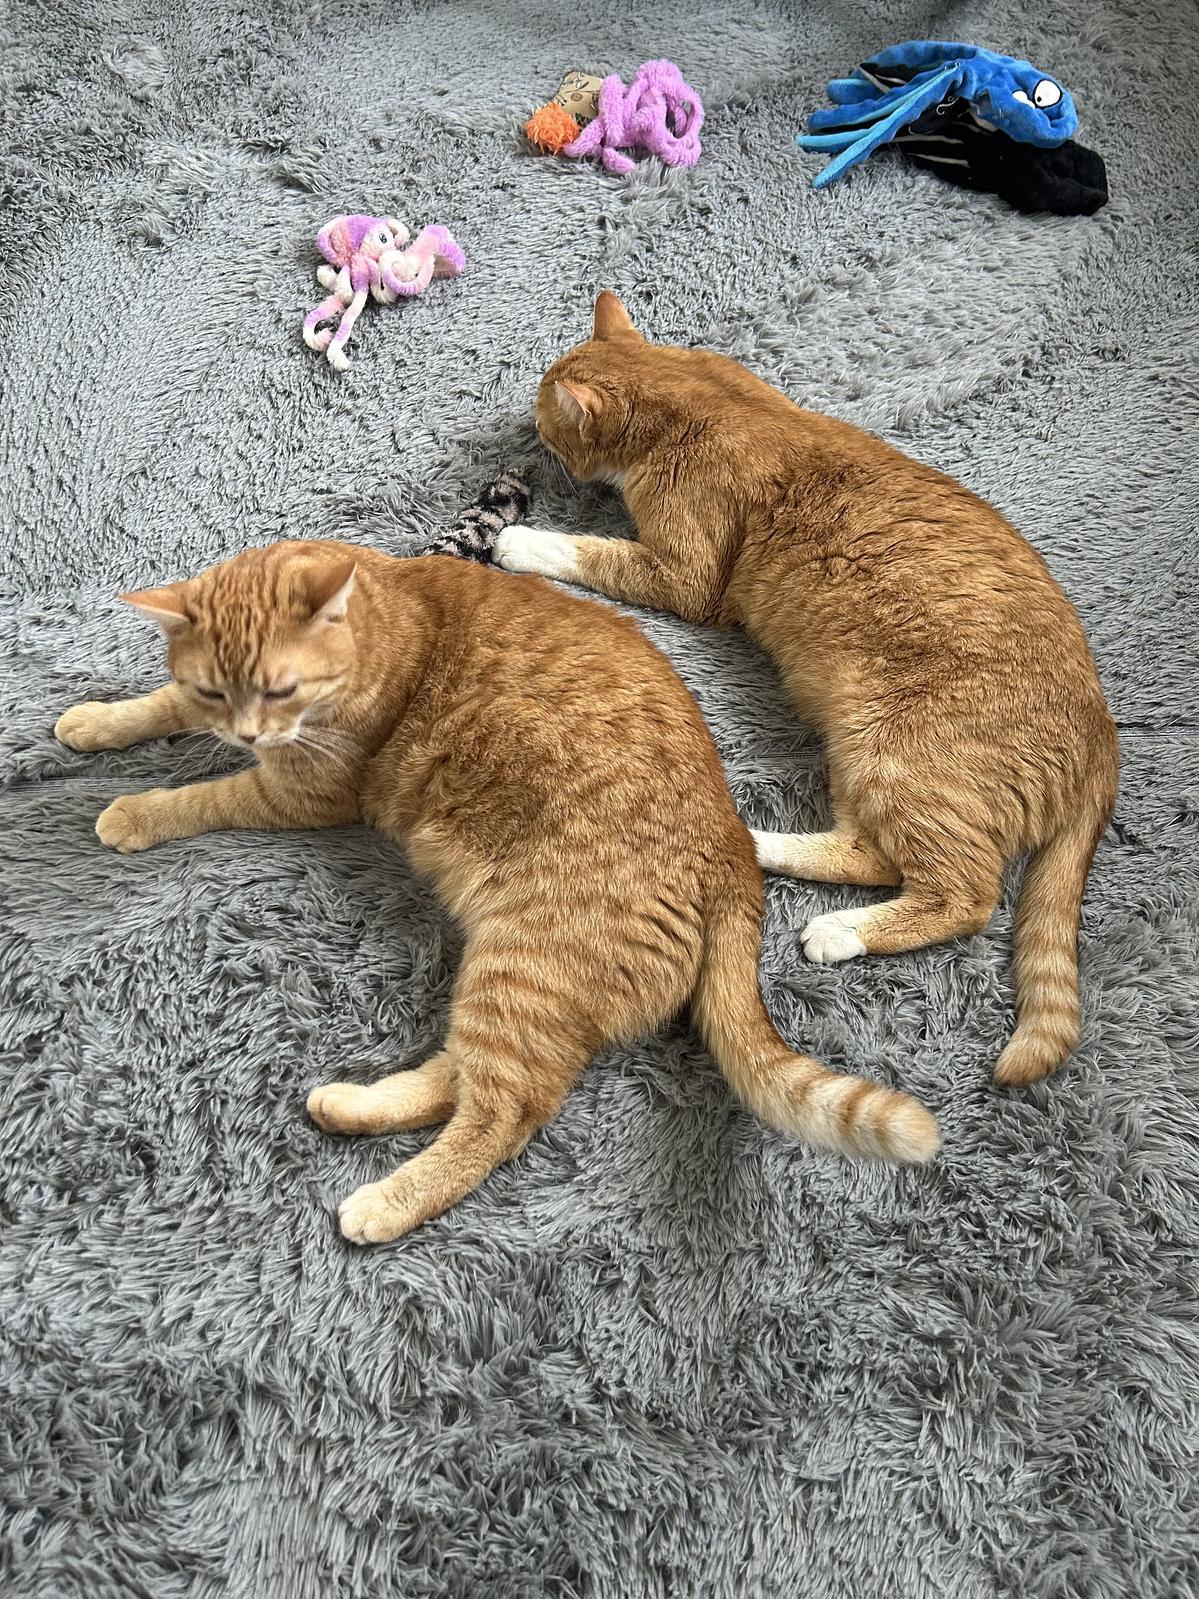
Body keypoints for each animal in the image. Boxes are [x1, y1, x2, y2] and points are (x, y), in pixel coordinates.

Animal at [55, 510, 939, 1244]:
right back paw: (349, 1103)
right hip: (512, 977)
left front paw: (132, 811)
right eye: (217, 687)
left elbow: (201, 796)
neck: (384, 620)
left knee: (502, 1111)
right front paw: (97, 720)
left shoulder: (301, 789)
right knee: (460, 1074)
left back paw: (383, 1201)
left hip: (523, 966)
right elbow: (159, 706)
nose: (246, 730)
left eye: (281, 688)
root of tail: (731, 850)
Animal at [493, 293, 1119, 1088]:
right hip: (863, 757)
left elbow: (589, 550)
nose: (532, 438)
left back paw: (839, 929)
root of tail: (1102, 728)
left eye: (547, 427)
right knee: (873, 854)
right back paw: (756, 842)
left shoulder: (683, 577)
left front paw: (520, 540)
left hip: (892, 754)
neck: (695, 400)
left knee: (963, 895)